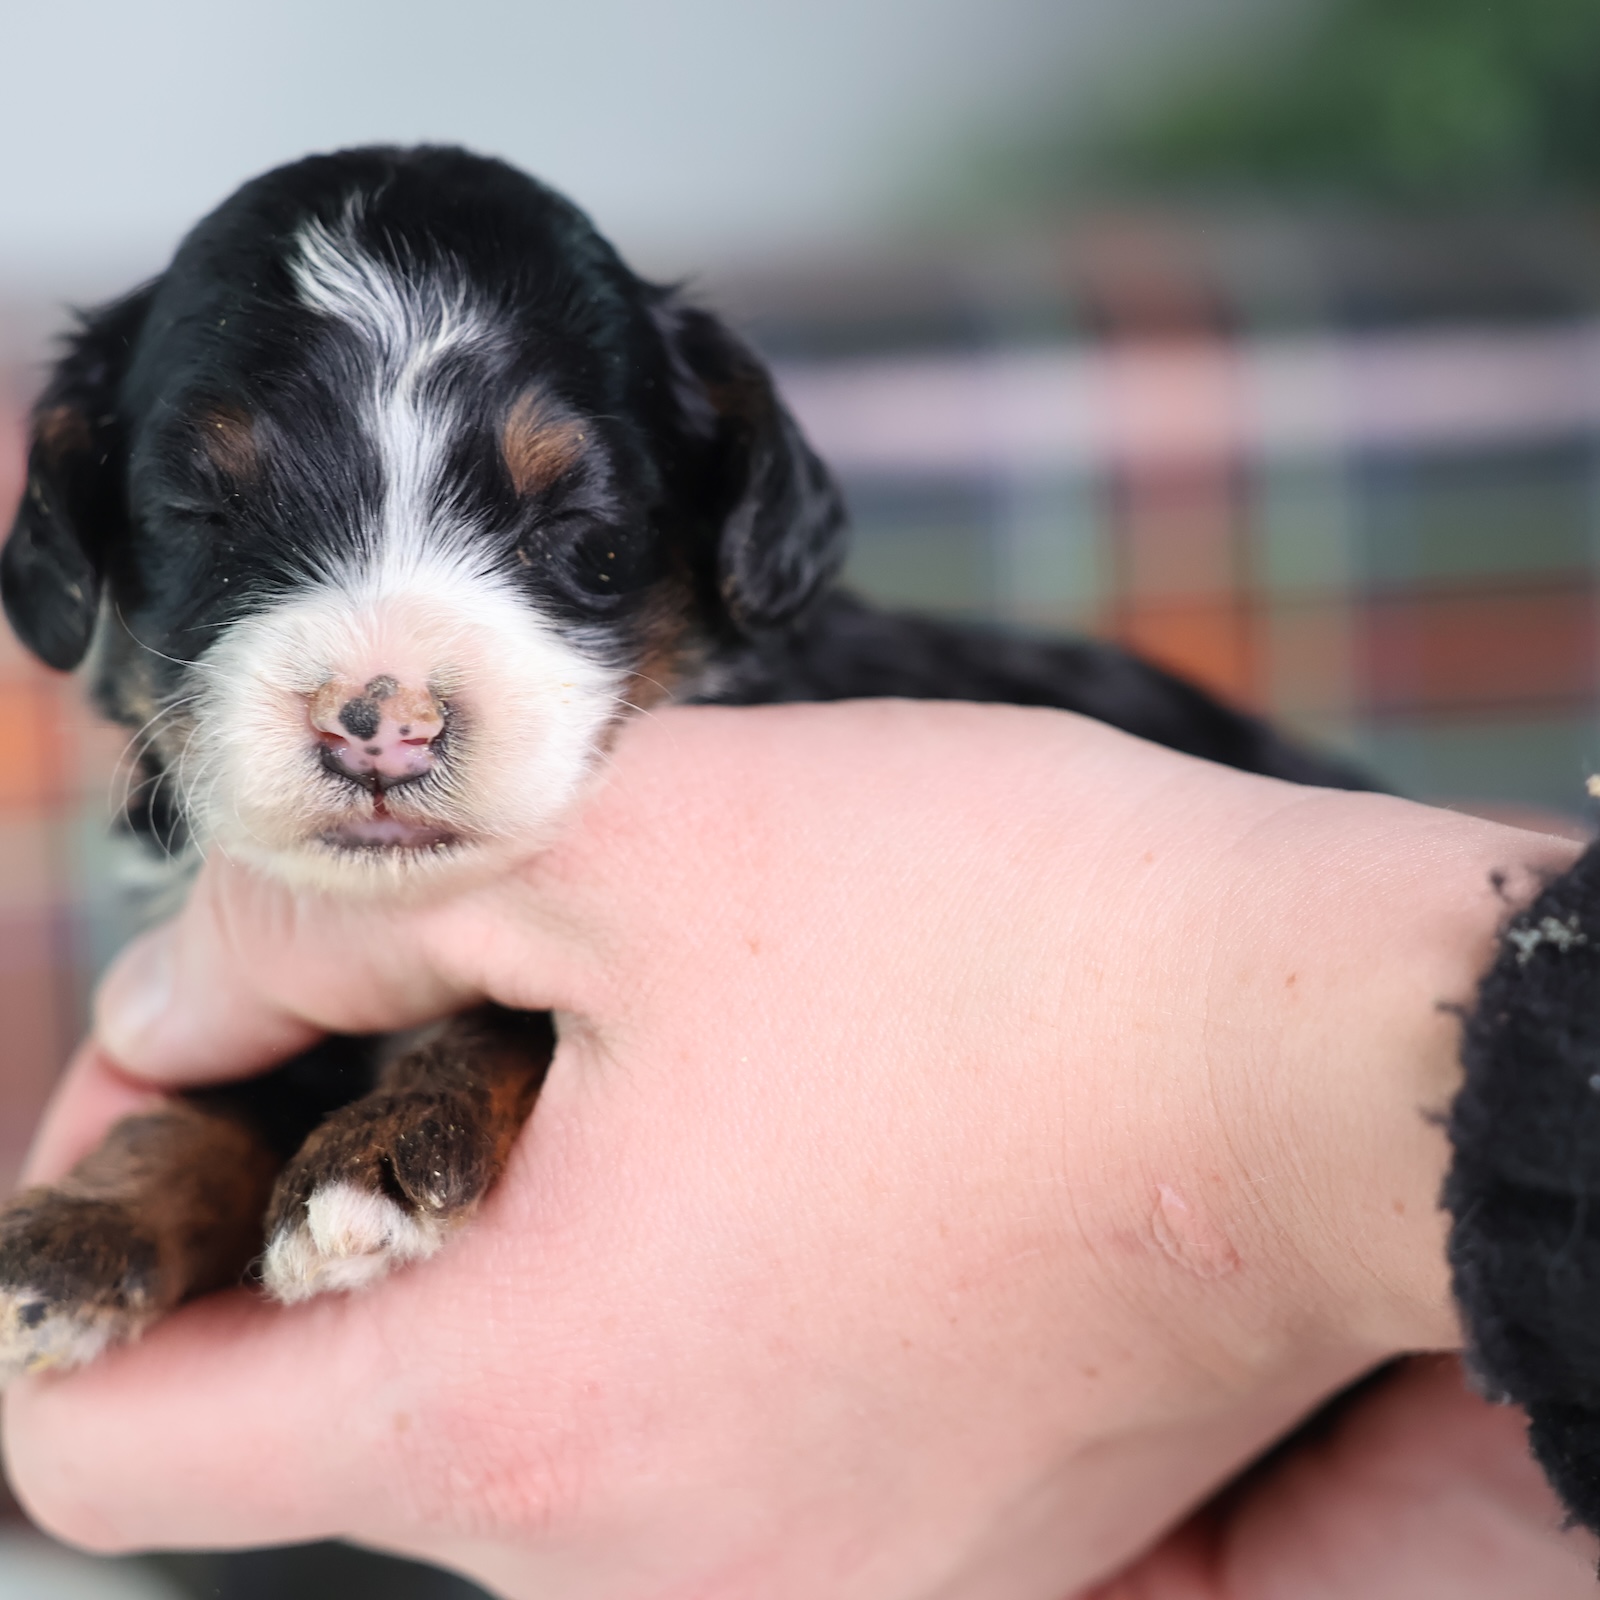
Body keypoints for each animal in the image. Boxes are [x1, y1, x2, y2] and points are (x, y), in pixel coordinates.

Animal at [0, 146, 1375, 1376]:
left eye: (581, 529)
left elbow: (505, 1022)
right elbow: (207, 1103)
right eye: (201, 513)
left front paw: (378, 1154)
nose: (381, 718)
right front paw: (78, 1233)